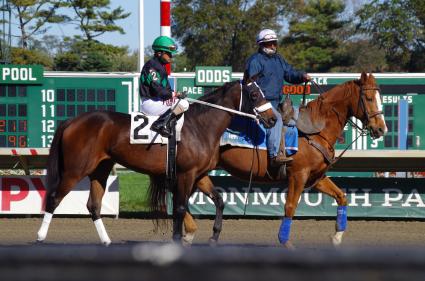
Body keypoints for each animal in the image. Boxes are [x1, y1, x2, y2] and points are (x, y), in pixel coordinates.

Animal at [35, 79, 274, 243]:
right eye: (254, 94)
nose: (272, 119)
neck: (199, 126)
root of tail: (72, 120)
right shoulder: (186, 174)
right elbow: (180, 208)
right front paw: (179, 239)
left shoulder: (199, 175)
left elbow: (219, 200)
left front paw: (214, 236)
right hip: (75, 170)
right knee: (54, 199)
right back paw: (40, 237)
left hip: (100, 169)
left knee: (93, 206)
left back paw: (107, 242)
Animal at [181, 72, 386, 247]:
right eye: (369, 98)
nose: (381, 129)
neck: (315, 130)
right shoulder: (298, 175)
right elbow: (290, 207)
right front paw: (284, 241)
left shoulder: (316, 177)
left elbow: (341, 197)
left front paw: (337, 236)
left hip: (197, 172)